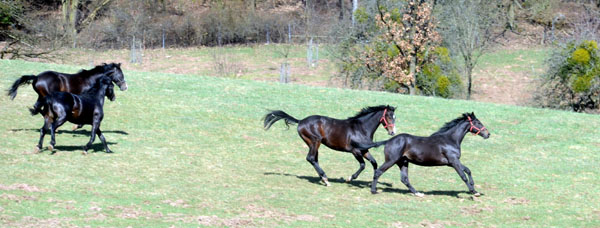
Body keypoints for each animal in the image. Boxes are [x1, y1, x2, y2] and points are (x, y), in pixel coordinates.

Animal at [264, 106, 396, 186]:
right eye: (389, 116)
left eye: (395, 117)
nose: (393, 132)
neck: (360, 128)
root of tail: (300, 121)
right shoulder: (355, 151)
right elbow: (363, 165)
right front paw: (349, 178)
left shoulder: (364, 151)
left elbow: (374, 163)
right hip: (315, 141)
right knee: (310, 158)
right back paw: (326, 179)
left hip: (313, 144)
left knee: (314, 159)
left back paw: (323, 178)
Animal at [352, 112, 488, 196]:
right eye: (478, 123)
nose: (488, 134)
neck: (450, 140)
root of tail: (389, 141)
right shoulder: (454, 161)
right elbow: (463, 175)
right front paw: (472, 192)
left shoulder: (451, 162)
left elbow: (468, 170)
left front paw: (474, 189)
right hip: (391, 160)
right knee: (378, 172)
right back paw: (374, 191)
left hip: (403, 162)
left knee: (404, 179)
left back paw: (417, 193)